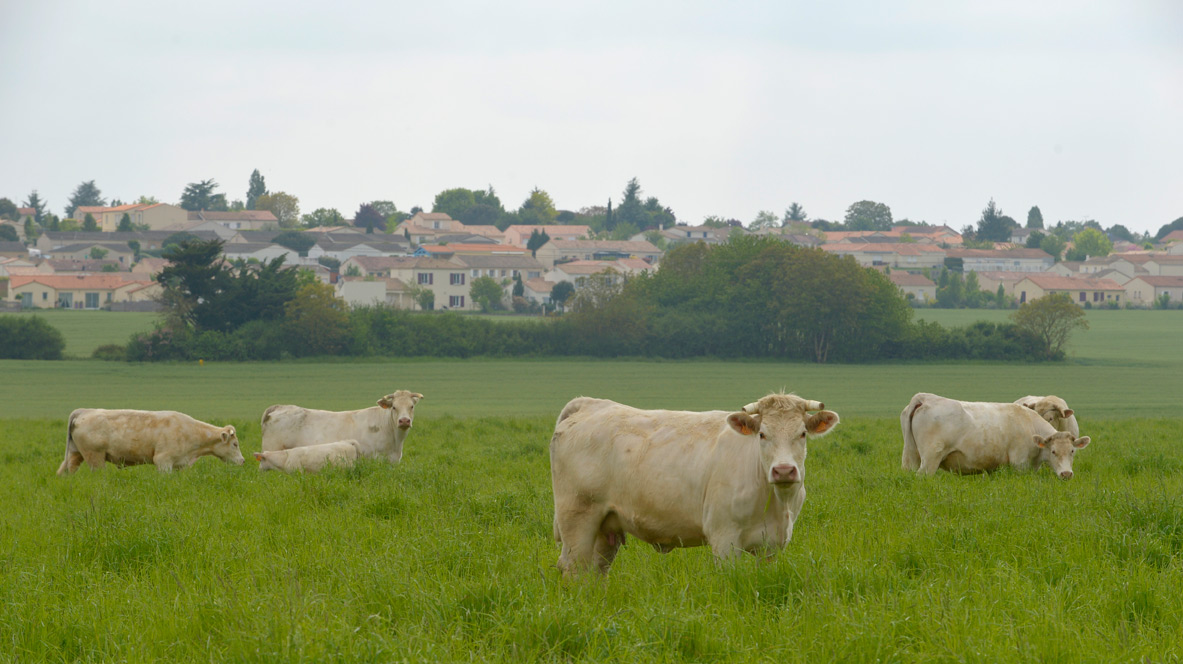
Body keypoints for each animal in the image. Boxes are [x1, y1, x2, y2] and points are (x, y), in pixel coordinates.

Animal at [58, 409, 244, 474]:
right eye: (235, 444)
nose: (242, 461)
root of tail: (84, 411)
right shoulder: (163, 461)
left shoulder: (178, 464)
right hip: (94, 457)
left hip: (75, 454)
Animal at [549, 393, 839, 576]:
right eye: (762, 434)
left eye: (802, 433)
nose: (783, 470)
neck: (776, 504)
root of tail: (591, 404)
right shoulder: (724, 539)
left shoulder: (773, 546)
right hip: (577, 517)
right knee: (573, 567)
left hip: (606, 526)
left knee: (595, 570)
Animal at [901, 393, 1091, 479]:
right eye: (1053, 452)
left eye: (1072, 451)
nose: (1066, 474)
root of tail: (925, 398)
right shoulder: (1020, 464)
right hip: (930, 459)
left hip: (910, 456)